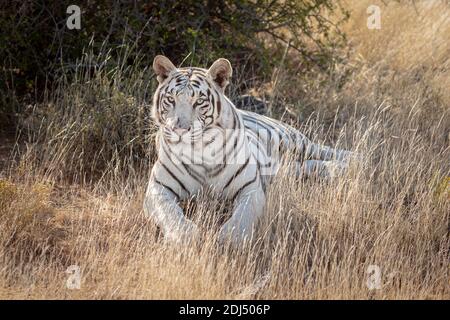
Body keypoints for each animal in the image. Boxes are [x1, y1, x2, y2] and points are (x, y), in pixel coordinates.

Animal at [144, 55, 356, 245]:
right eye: (171, 99)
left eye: (199, 102)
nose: (179, 130)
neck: (201, 150)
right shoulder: (158, 189)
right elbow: (170, 213)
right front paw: (183, 236)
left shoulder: (250, 189)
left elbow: (243, 216)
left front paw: (230, 239)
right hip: (287, 168)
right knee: (305, 167)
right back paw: (334, 169)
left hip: (293, 141)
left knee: (327, 150)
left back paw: (356, 161)